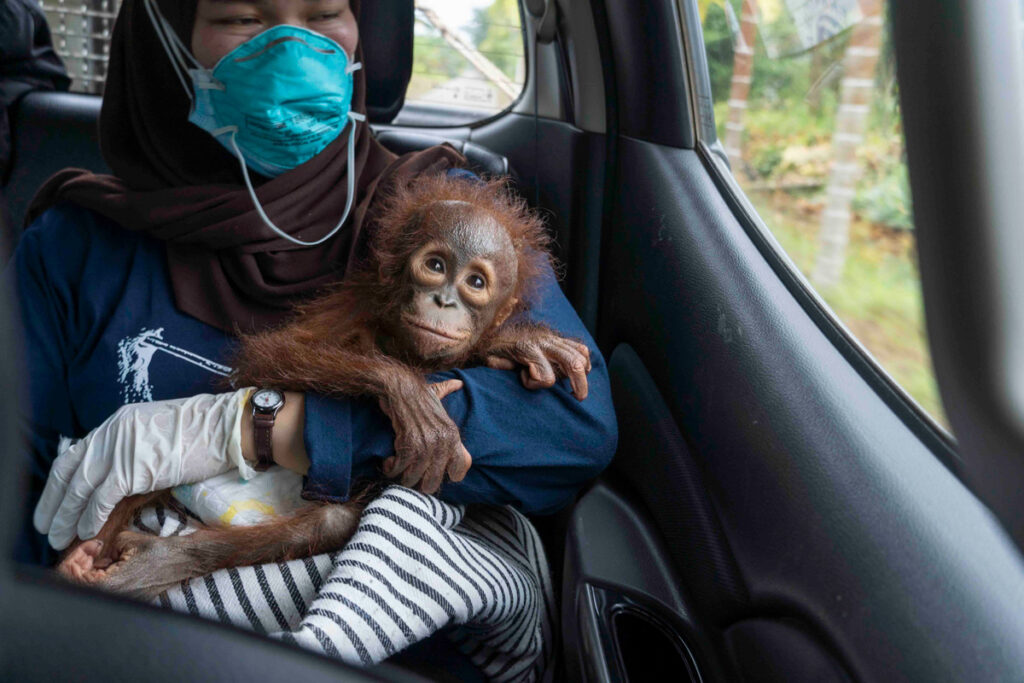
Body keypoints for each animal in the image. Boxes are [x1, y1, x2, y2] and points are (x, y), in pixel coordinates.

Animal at [54, 173, 593, 599]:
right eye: (436, 265)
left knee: (328, 522)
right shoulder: (355, 307)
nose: (443, 301)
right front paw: (408, 392)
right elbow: (271, 355)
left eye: (476, 283)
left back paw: (153, 561)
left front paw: (514, 342)